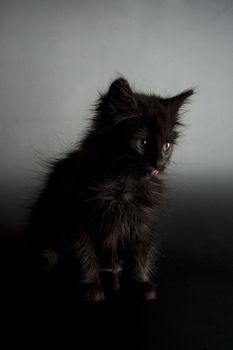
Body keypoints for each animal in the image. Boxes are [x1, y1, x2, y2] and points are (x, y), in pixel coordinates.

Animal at [29, 78, 193, 300]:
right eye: (143, 142)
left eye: (166, 146)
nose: (159, 164)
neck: (122, 183)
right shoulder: (79, 221)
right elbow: (83, 252)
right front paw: (90, 285)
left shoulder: (142, 222)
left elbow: (140, 254)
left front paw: (139, 284)